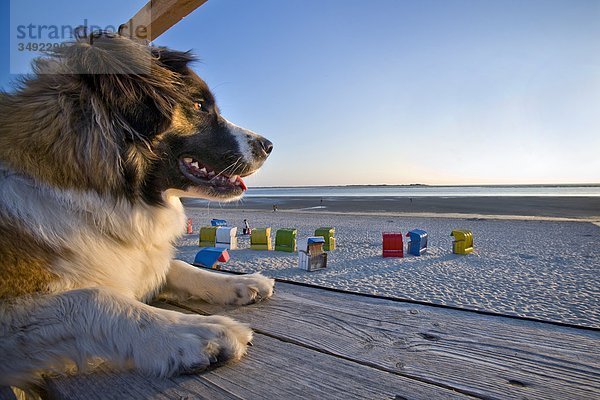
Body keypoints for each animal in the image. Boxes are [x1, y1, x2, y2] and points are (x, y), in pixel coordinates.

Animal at [0, 31, 276, 384]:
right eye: (199, 106)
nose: (269, 145)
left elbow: (176, 265)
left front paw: (240, 283)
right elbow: (92, 297)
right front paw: (196, 331)